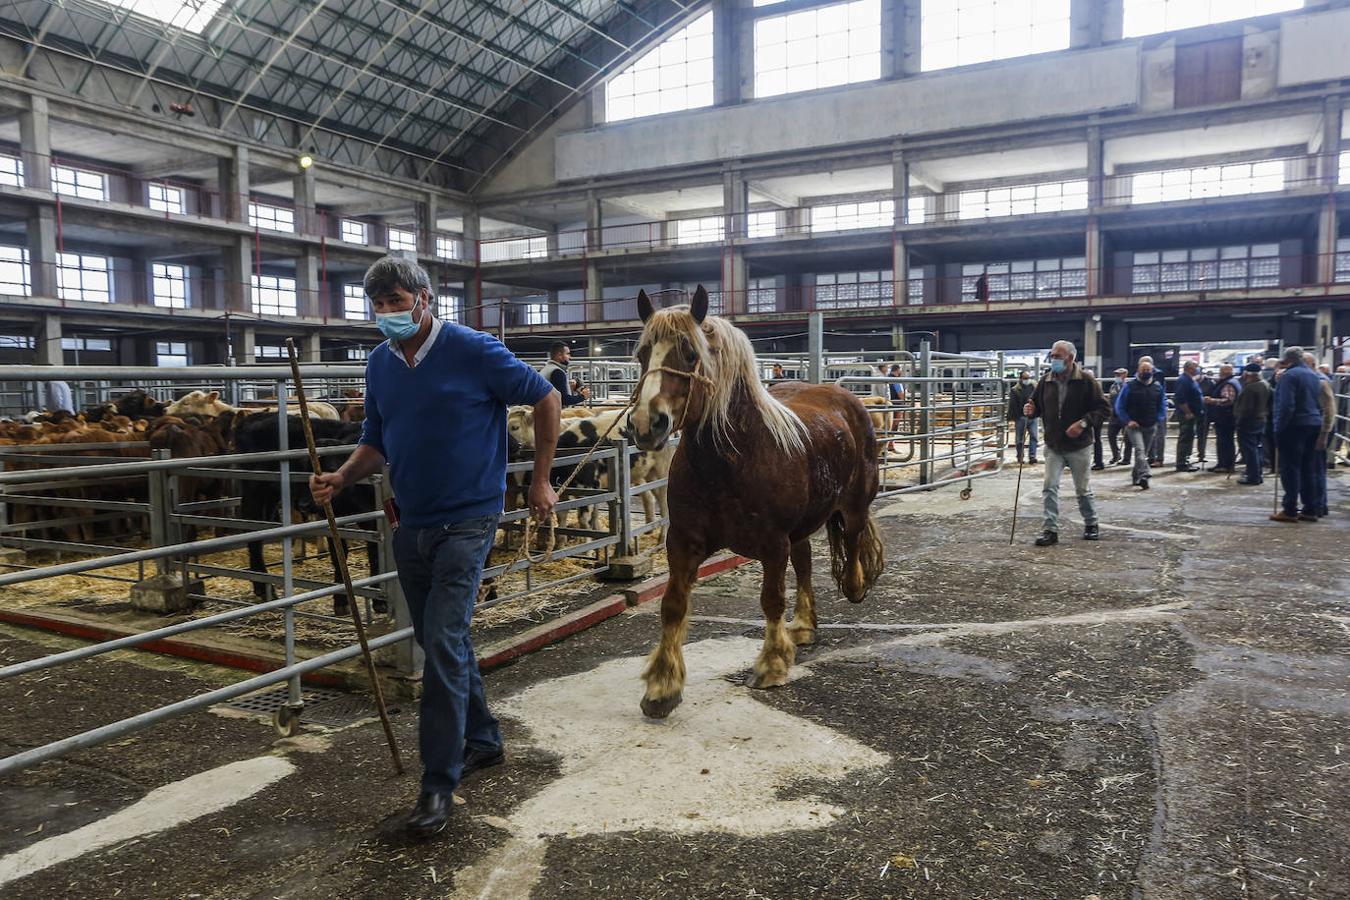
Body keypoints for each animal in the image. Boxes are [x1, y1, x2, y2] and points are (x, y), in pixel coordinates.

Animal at [631, 284, 885, 723]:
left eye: (691, 354)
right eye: (644, 353)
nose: (647, 424)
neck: (729, 462)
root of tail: (844, 397)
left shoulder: (772, 544)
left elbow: (771, 600)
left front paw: (771, 664)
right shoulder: (682, 542)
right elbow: (673, 605)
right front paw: (663, 686)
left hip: (851, 509)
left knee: (851, 542)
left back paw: (854, 585)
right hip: (800, 530)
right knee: (805, 566)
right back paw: (803, 626)